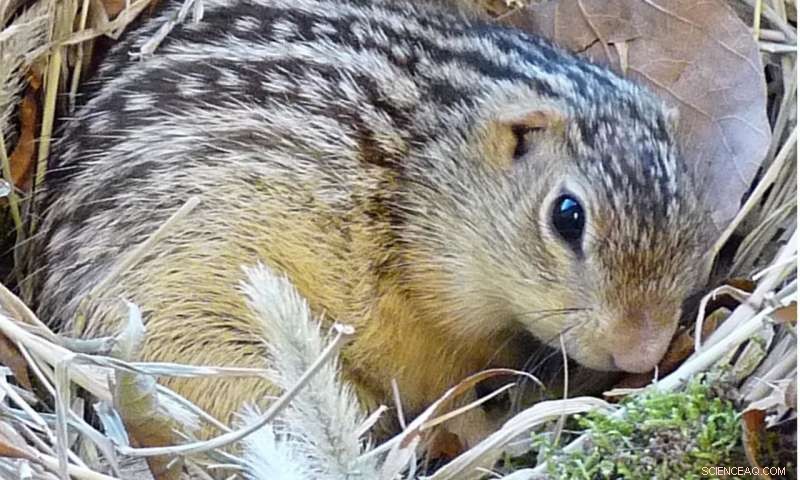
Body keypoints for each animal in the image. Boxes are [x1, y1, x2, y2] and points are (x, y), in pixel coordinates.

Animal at [27, 0, 712, 443]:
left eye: (691, 200)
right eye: (568, 217)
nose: (646, 347)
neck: (418, 166)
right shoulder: (419, 340)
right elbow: (447, 398)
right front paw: (494, 433)